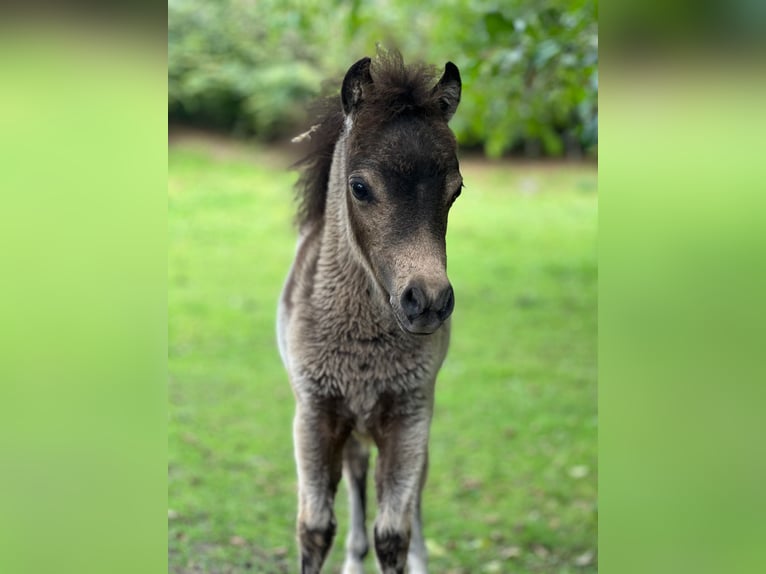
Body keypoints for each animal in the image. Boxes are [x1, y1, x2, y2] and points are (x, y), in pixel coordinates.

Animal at [280, 51, 464, 572]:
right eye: (359, 187)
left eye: (456, 191)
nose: (428, 301)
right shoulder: (314, 412)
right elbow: (315, 528)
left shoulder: (410, 414)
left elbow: (393, 533)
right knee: (357, 475)